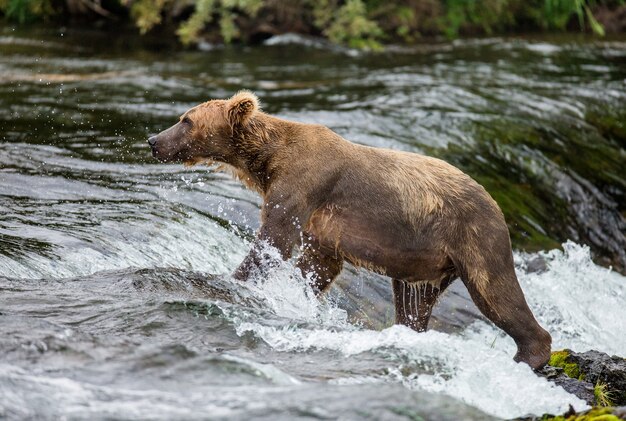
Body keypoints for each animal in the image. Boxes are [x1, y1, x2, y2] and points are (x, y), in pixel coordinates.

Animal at [149, 91, 548, 368]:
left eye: (185, 119)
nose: (153, 141)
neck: (266, 162)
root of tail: (495, 200)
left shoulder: (303, 184)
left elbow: (274, 240)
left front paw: (234, 281)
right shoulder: (322, 228)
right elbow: (316, 265)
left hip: (472, 234)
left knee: (496, 291)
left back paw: (528, 354)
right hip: (423, 263)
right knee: (414, 302)